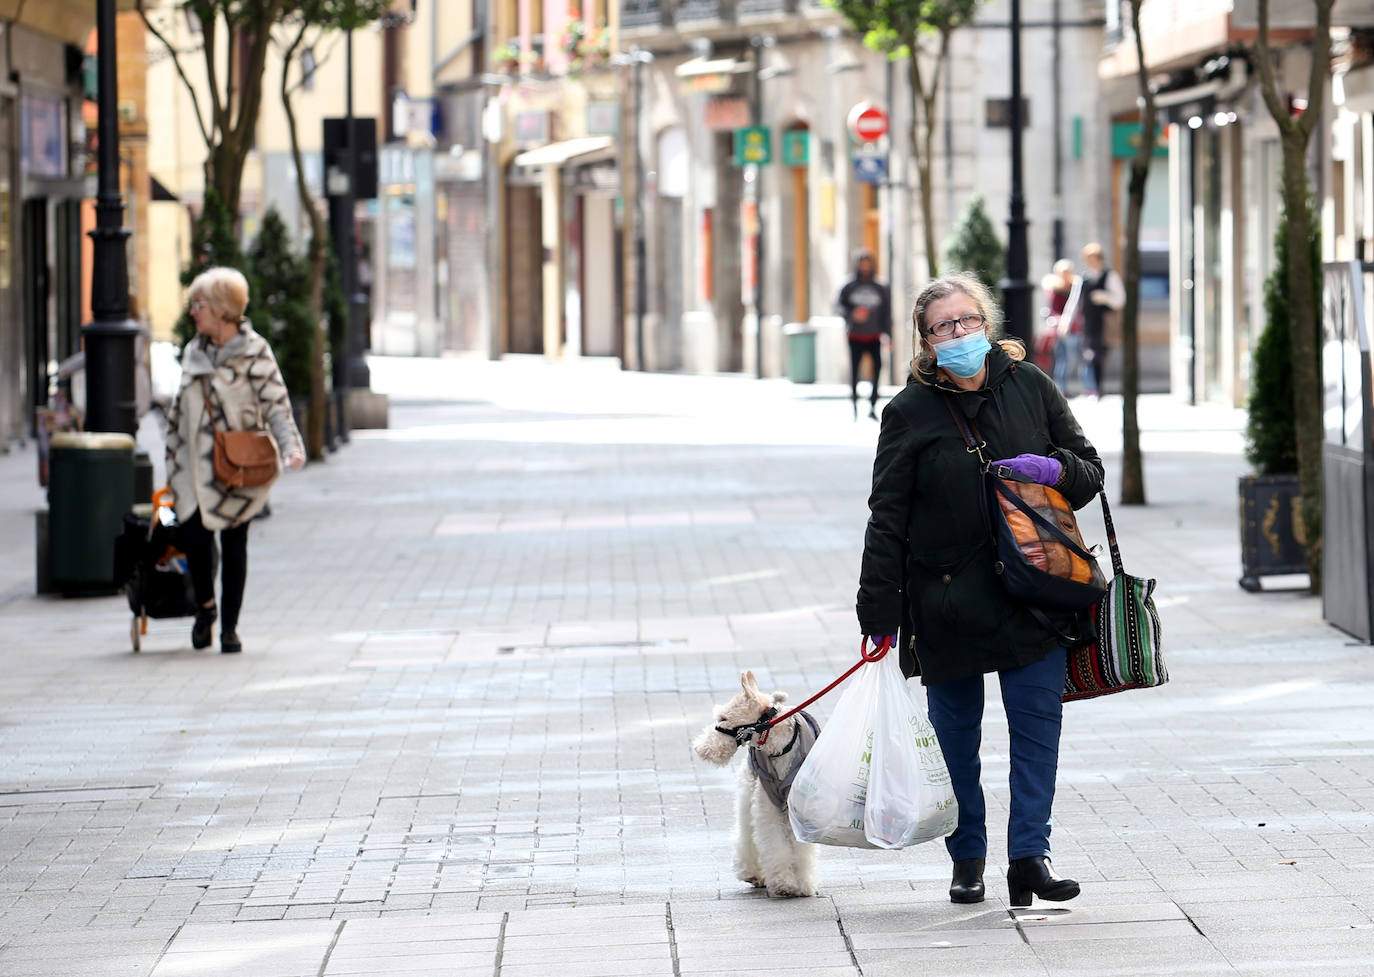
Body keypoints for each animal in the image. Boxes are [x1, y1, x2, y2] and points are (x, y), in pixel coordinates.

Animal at [697, 673, 813, 895]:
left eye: (723, 718)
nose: (699, 748)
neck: (780, 747)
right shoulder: (767, 805)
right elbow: (775, 843)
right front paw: (784, 883)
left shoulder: (796, 808)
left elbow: (800, 848)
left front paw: (802, 884)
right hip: (748, 793)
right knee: (746, 835)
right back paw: (753, 874)